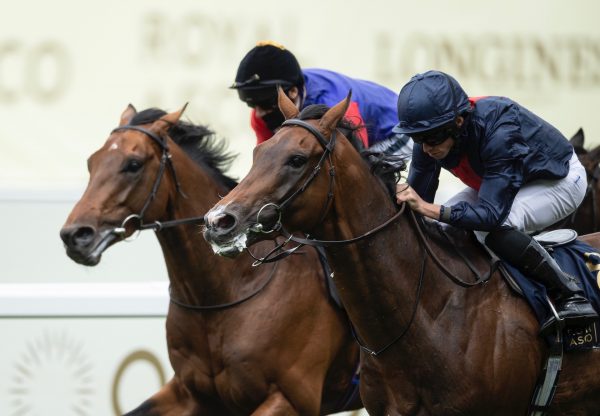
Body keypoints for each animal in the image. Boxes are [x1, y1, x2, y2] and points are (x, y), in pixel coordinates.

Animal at [59, 105, 360, 416]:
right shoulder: (190, 392)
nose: (75, 235)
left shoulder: (291, 398)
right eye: (92, 162)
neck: (218, 296)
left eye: (133, 164)